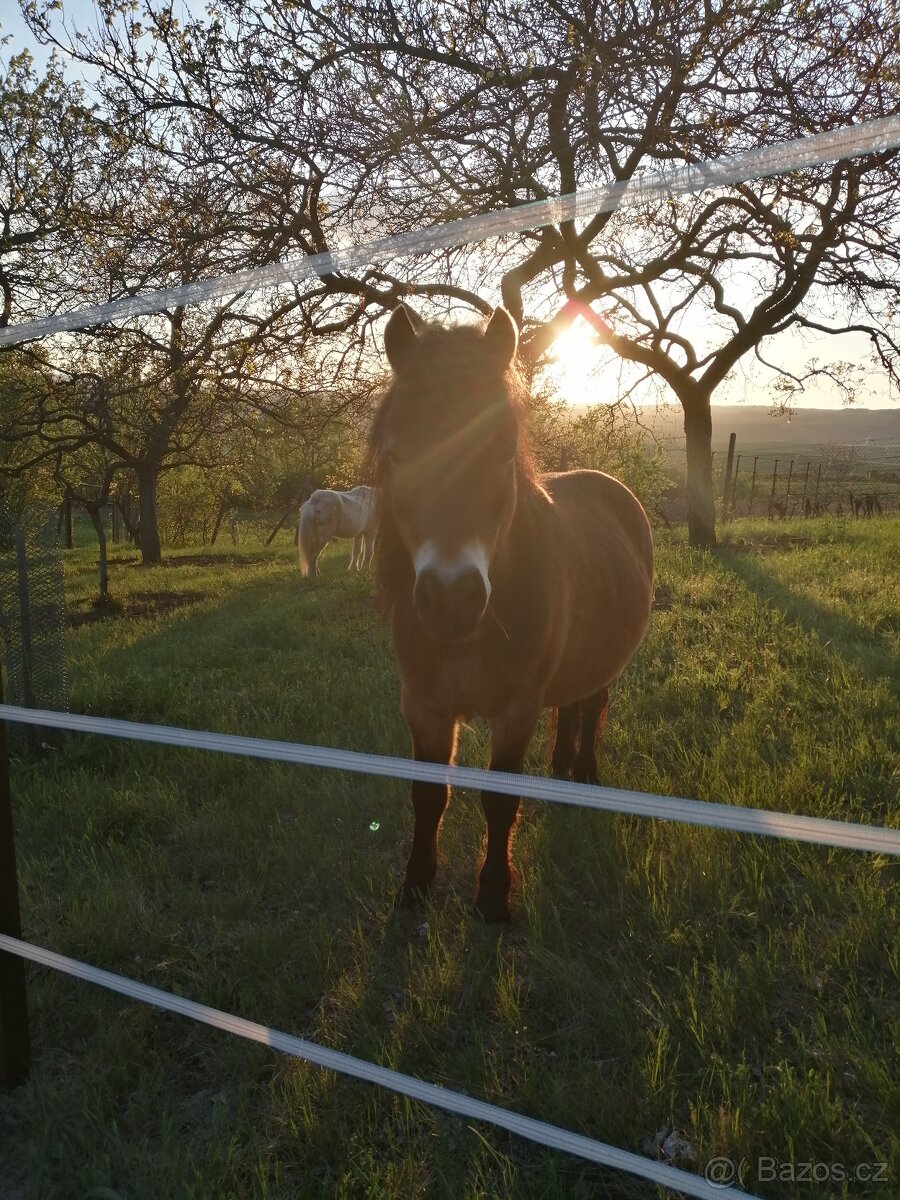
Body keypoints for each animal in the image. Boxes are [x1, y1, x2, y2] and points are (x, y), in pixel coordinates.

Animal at [369, 304, 654, 922]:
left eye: (502, 450)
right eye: (397, 455)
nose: (451, 599)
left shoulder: (516, 709)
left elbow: (499, 801)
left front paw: (494, 896)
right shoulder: (424, 705)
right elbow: (428, 795)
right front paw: (415, 886)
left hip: (602, 669)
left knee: (591, 708)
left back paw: (585, 776)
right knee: (570, 707)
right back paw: (563, 770)